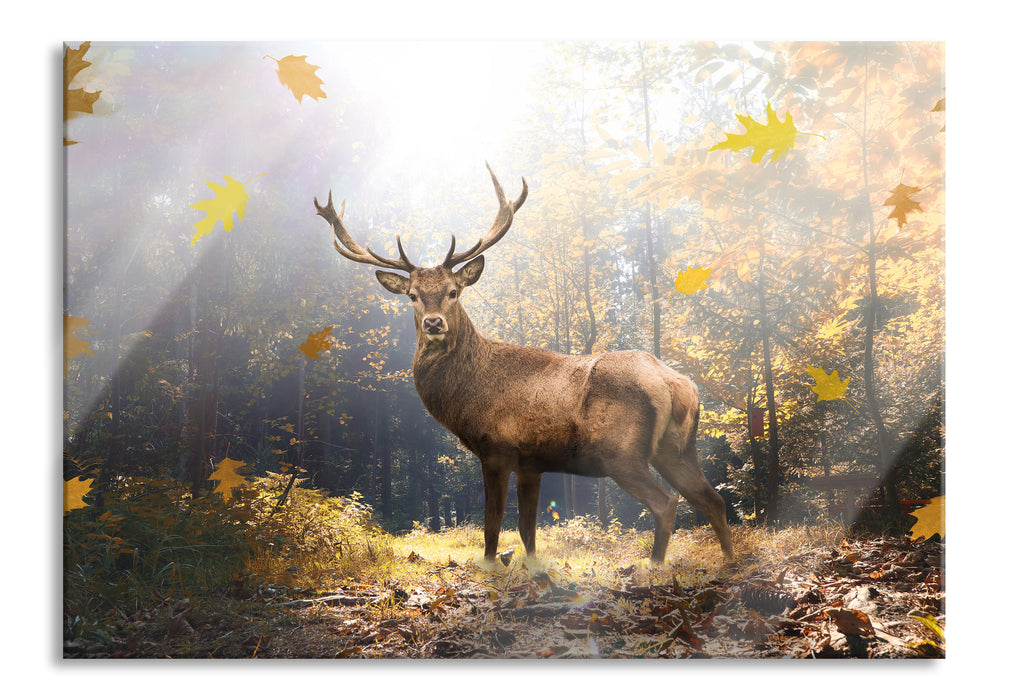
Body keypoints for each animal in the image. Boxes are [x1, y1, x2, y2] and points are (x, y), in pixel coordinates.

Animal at [314, 164, 734, 564]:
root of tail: (677, 384)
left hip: (621, 451)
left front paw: (490, 567)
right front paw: (532, 569)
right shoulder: (533, 461)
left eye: (453, 291)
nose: (434, 323)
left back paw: (656, 566)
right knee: (712, 498)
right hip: (677, 448)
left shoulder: (497, 448)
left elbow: (492, 526)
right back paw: (730, 561)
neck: (467, 395)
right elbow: (528, 530)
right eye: (413, 295)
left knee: (667, 502)